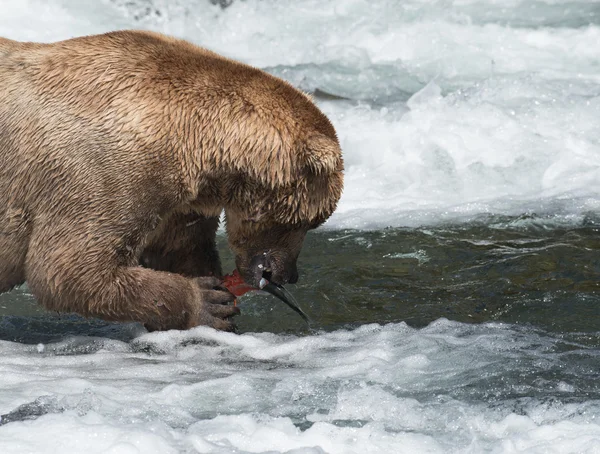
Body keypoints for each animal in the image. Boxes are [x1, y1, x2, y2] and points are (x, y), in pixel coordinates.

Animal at [0, 30, 344, 332]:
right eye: (308, 221)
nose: (289, 274)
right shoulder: (103, 171)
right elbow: (70, 268)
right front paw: (209, 303)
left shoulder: (177, 199)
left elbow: (178, 247)